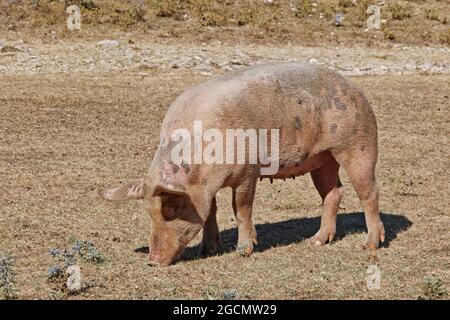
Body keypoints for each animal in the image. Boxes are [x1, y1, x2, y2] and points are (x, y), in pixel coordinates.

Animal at [100, 62, 384, 264]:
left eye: (171, 209)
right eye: (149, 211)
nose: (152, 261)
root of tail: (356, 89)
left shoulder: (249, 170)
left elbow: (242, 208)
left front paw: (244, 251)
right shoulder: (206, 187)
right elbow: (211, 210)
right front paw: (207, 251)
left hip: (358, 144)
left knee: (369, 191)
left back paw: (369, 245)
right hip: (322, 159)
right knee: (333, 192)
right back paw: (316, 242)